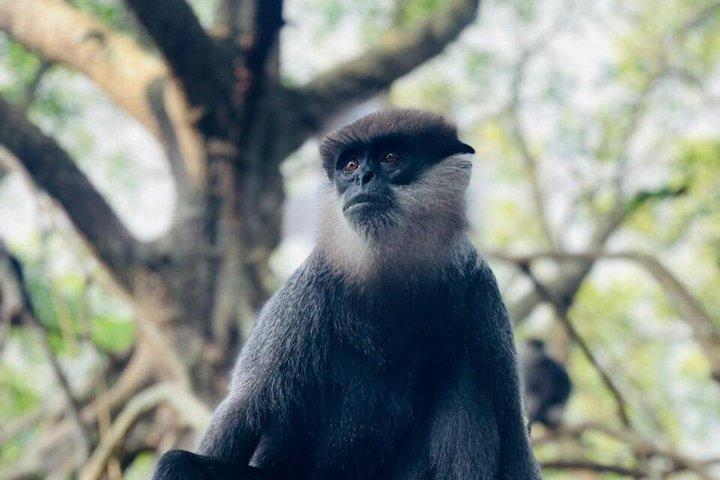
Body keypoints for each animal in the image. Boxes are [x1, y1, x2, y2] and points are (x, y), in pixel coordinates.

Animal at [152, 109, 542, 480]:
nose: (362, 178)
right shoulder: (307, 293)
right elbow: (243, 412)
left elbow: (510, 427)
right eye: (351, 165)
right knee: (177, 463)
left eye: (390, 157)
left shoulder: (479, 288)